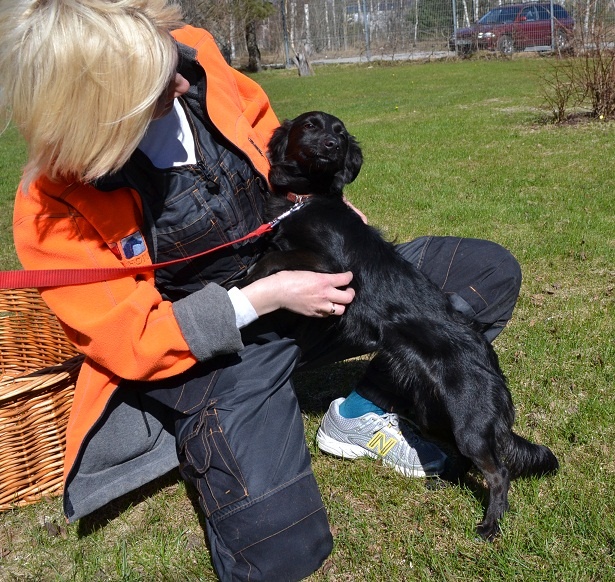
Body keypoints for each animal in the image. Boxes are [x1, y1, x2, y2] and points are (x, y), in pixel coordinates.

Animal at [242, 111, 558, 540]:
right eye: (311, 126)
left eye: (341, 134)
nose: (332, 147)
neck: (307, 200)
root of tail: (492, 363)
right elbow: (270, 251)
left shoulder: (329, 268)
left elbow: (273, 260)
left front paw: (245, 278)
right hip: (435, 412)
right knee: (466, 460)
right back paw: (444, 479)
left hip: (469, 422)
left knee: (499, 472)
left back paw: (490, 524)